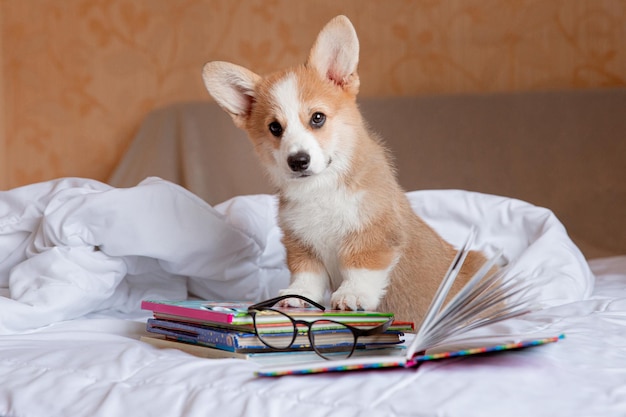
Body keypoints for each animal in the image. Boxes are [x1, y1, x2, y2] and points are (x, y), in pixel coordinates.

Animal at [202, 15, 486, 324]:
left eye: (317, 118)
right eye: (275, 128)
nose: (298, 161)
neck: (321, 188)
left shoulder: (372, 236)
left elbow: (360, 268)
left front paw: (352, 295)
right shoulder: (301, 243)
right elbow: (307, 275)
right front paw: (296, 296)